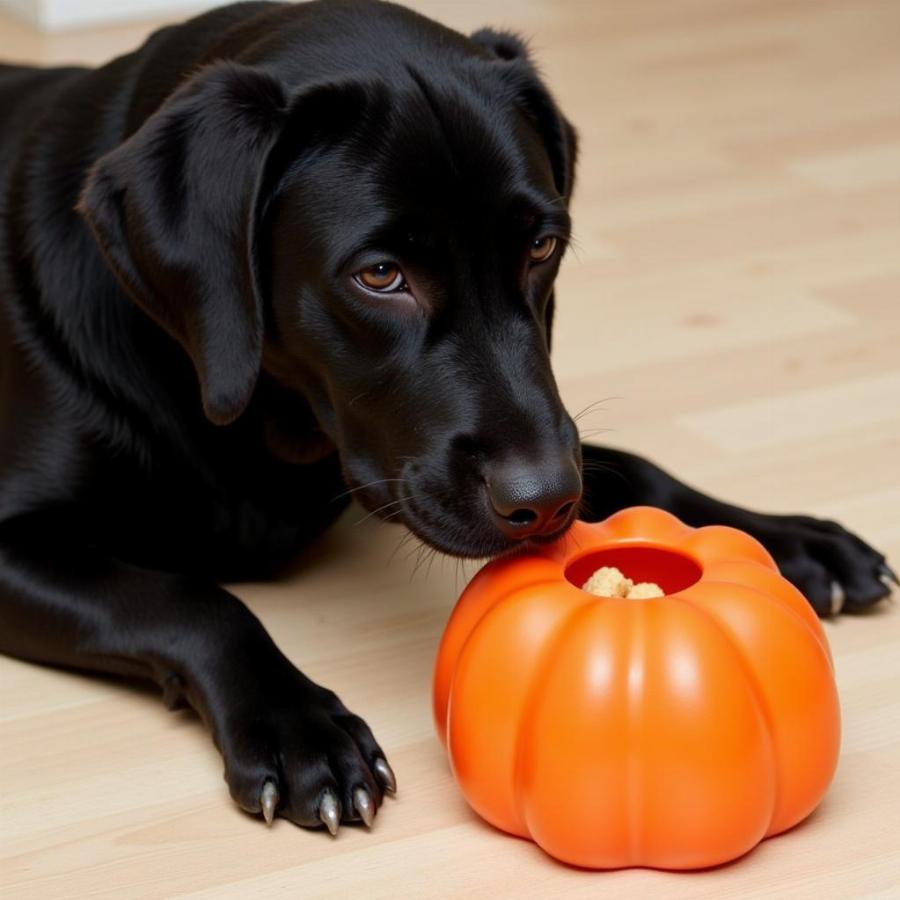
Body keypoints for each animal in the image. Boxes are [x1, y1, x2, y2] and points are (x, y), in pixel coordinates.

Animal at [0, 0, 892, 832]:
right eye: (380, 276)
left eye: (541, 247)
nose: (546, 500)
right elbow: (190, 600)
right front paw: (299, 729)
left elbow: (633, 468)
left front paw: (789, 537)